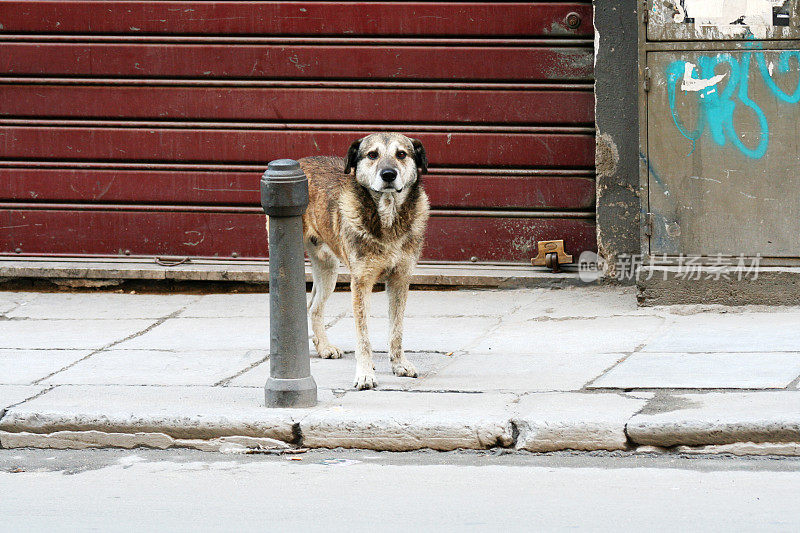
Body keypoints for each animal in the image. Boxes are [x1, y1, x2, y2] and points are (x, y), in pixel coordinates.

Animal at [296, 131, 432, 388]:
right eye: (372, 155)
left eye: (401, 154)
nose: (388, 174)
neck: (387, 218)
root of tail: (300, 160)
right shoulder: (361, 283)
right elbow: (363, 337)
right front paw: (365, 374)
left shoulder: (400, 280)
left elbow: (396, 330)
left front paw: (399, 365)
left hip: (328, 269)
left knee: (314, 306)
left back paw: (323, 347)